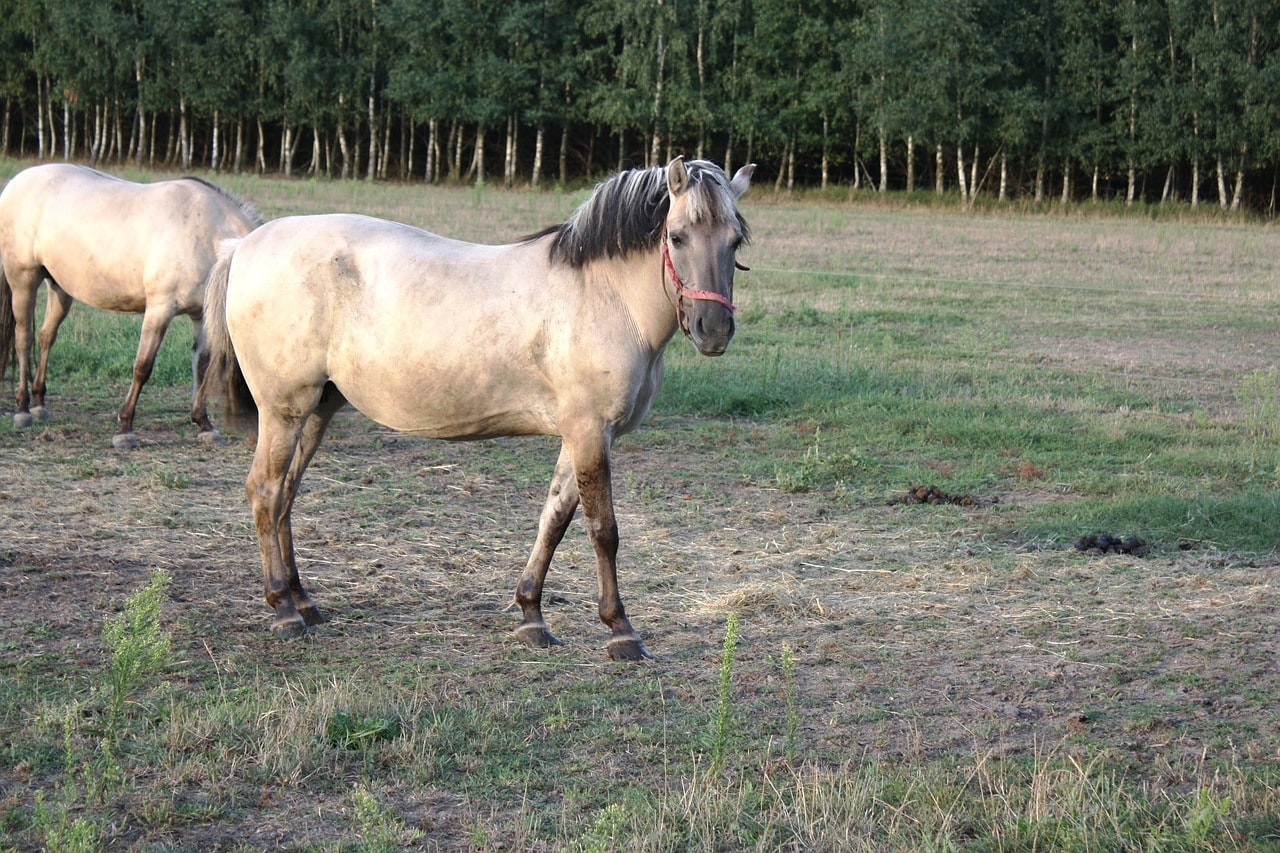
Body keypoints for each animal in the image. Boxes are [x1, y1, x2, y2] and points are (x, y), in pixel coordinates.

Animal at [0, 163, 264, 449]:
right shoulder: (160, 309)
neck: (208, 233)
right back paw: (23, 409)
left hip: (59, 286)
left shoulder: (201, 315)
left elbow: (202, 365)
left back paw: (39, 403)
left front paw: (203, 423)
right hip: (23, 280)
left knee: (46, 337)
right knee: (23, 340)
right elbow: (142, 367)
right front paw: (125, 427)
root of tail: (16, 182)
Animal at [199, 156, 753, 659]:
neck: (603, 294)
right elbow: (603, 530)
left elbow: (553, 519)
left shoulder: (582, 435)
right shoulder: (590, 432)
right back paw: (283, 610)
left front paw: (531, 615)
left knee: (286, 495)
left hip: (316, 411)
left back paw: (302, 600)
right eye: (677, 236)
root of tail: (242, 246)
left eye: (735, 242)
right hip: (283, 412)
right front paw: (620, 630)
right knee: (266, 492)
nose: (713, 330)